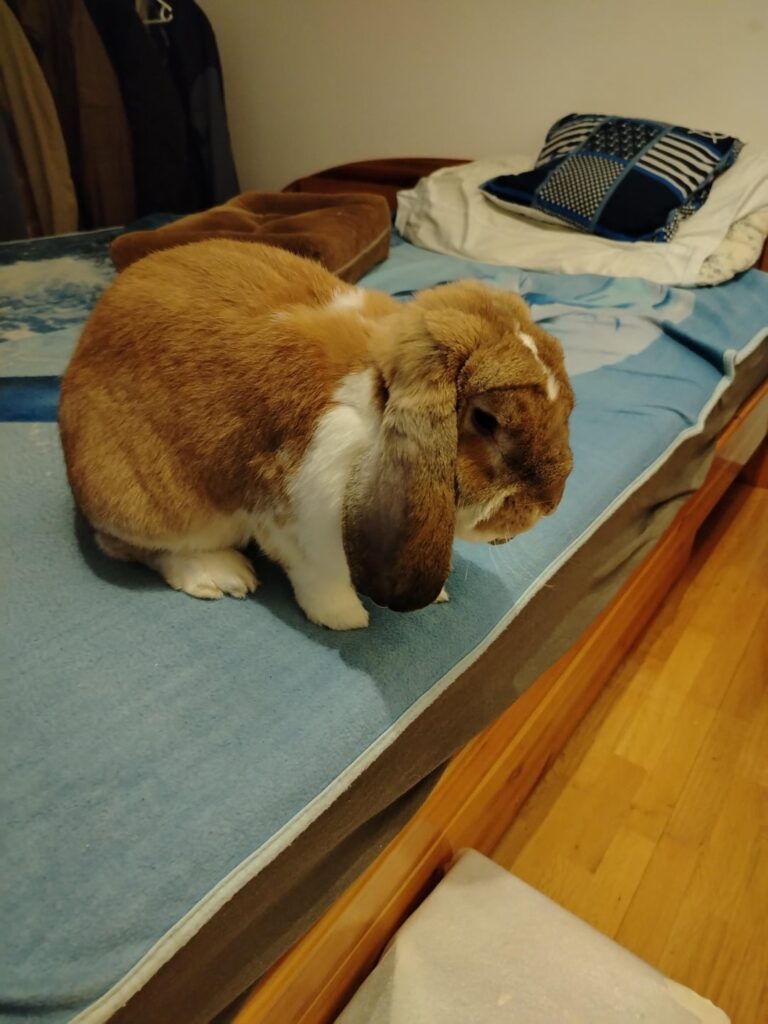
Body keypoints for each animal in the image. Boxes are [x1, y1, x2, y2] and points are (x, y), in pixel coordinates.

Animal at [59, 239, 574, 630]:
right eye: (486, 420)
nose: (548, 506)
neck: (373, 408)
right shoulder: (296, 523)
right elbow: (322, 579)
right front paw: (347, 620)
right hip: (150, 504)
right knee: (132, 547)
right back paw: (223, 576)